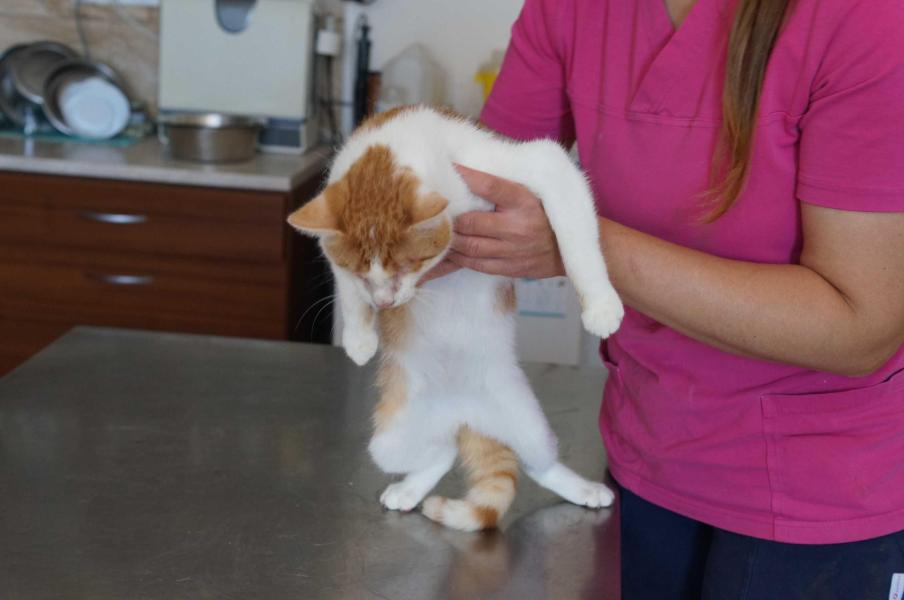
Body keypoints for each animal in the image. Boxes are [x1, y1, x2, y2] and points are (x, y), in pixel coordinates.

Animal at [288, 105, 624, 531]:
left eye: (408, 266)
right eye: (363, 275)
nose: (384, 303)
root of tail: (466, 415)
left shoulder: (530, 164)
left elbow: (575, 233)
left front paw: (600, 304)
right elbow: (344, 285)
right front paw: (359, 336)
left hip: (531, 423)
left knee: (538, 462)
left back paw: (584, 490)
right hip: (389, 440)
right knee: (443, 453)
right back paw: (411, 488)